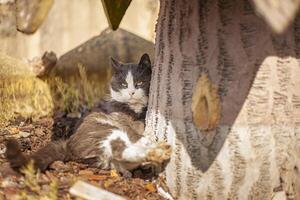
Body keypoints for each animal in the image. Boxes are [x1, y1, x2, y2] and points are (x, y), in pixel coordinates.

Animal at [5, 53, 171, 177]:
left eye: (140, 83)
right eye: (124, 84)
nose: (131, 92)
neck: (134, 109)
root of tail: (68, 144)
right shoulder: (118, 116)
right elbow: (132, 129)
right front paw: (142, 135)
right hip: (106, 131)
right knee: (119, 150)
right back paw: (157, 151)